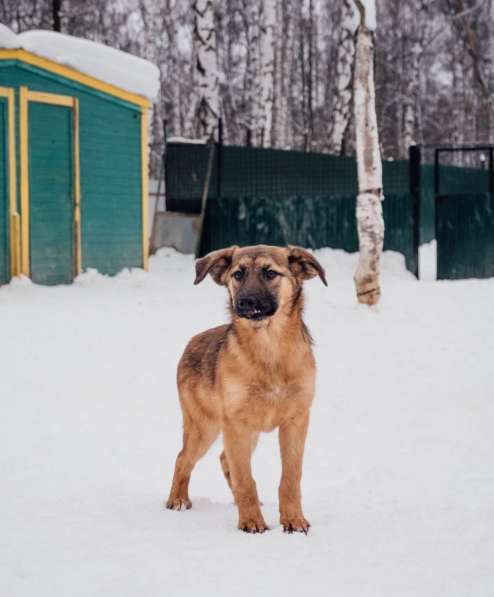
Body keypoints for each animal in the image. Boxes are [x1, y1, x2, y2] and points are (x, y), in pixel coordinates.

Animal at [167, 244, 328, 532]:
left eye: (270, 273)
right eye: (237, 274)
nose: (244, 302)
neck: (269, 348)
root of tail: (193, 341)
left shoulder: (296, 421)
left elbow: (290, 477)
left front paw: (293, 520)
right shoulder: (236, 423)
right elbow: (245, 479)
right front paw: (251, 521)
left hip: (244, 432)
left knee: (222, 459)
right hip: (204, 427)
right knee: (183, 458)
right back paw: (178, 500)